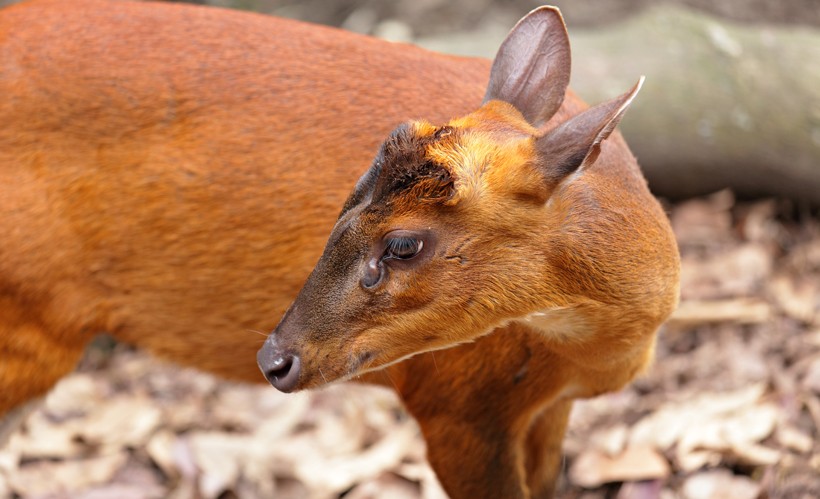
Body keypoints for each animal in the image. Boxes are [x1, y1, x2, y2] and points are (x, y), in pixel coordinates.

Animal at [0, 0, 680, 498]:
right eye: (345, 201)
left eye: (402, 244)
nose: (274, 359)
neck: (592, 354)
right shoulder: (457, 405)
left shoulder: (547, 410)